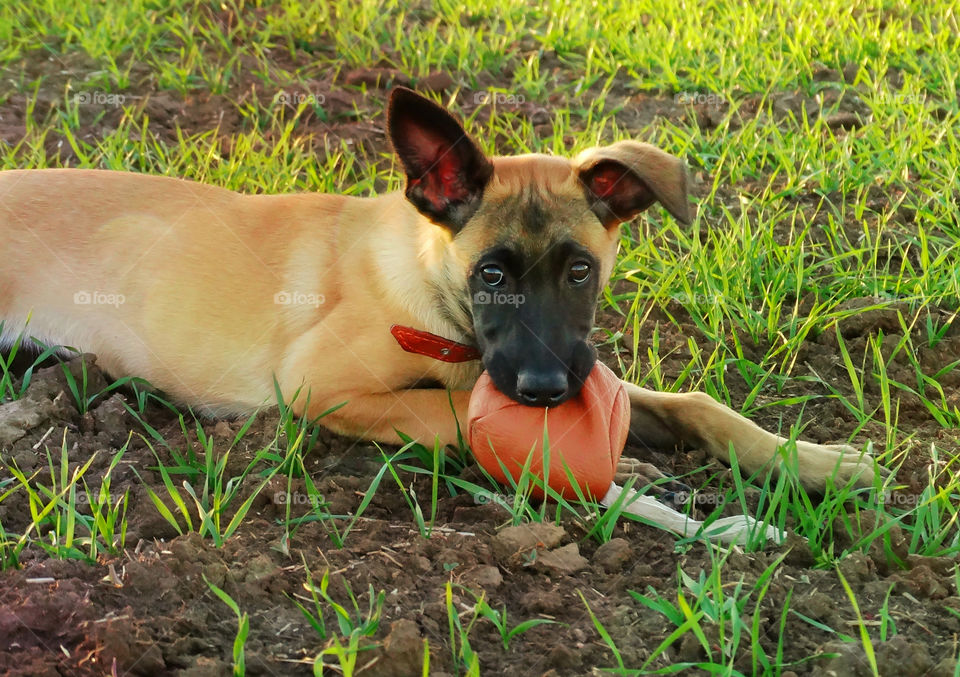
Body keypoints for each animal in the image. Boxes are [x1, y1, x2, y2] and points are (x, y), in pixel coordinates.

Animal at [0, 88, 884, 492]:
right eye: (490, 273)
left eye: (580, 270)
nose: (546, 387)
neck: (429, 294)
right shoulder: (315, 383)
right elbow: (449, 410)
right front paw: (605, 467)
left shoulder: (572, 361)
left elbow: (699, 404)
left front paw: (814, 460)